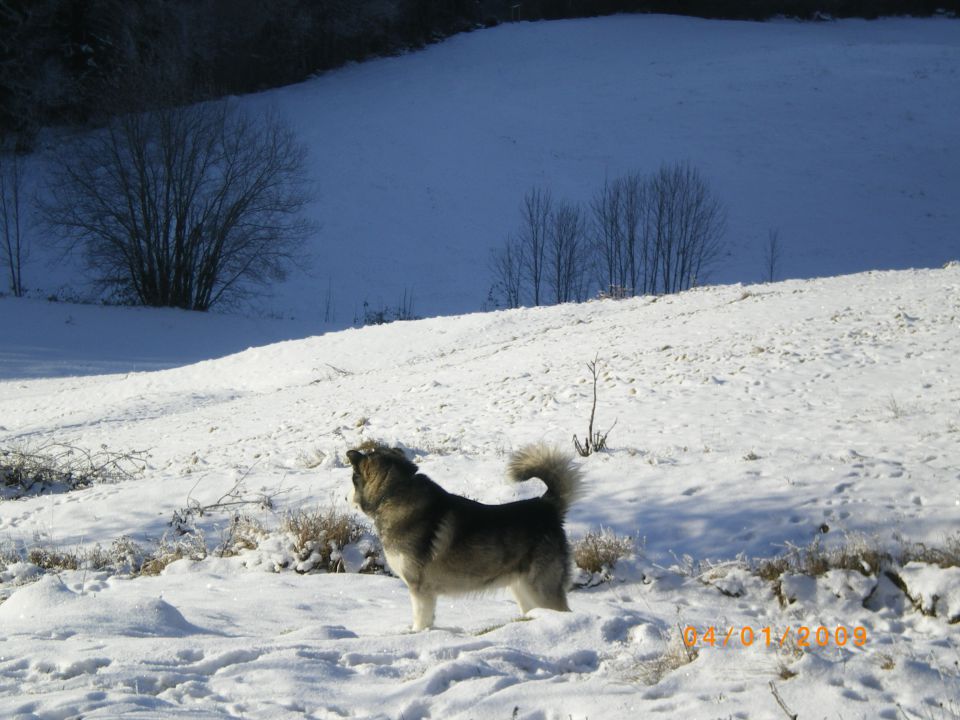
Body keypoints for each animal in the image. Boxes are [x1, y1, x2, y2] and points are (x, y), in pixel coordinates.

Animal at [348, 444, 580, 632]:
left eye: (352, 479)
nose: (346, 497)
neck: (394, 493)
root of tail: (546, 506)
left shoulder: (419, 589)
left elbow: (420, 619)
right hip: (522, 588)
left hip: (541, 588)